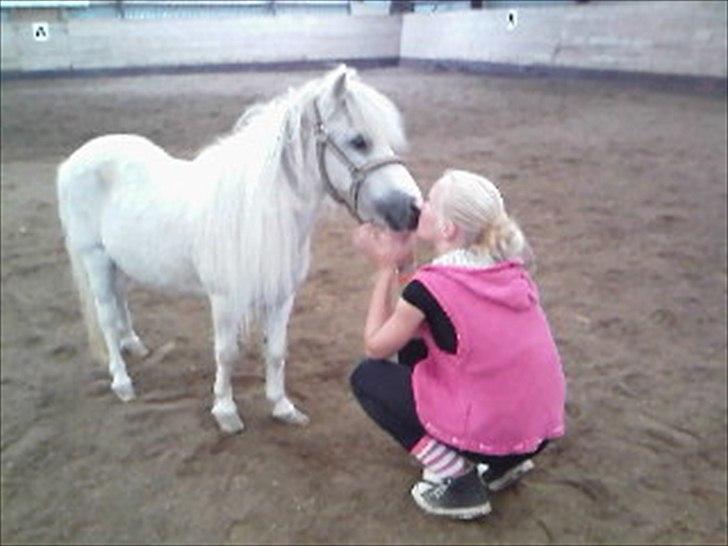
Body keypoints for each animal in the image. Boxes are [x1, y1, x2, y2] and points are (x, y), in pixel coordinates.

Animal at [57, 65, 422, 433]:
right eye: (359, 141)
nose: (413, 210)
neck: (258, 213)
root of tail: (74, 161)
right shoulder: (225, 300)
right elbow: (226, 354)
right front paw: (225, 411)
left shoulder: (282, 295)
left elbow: (276, 351)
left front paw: (282, 407)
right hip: (95, 258)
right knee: (105, 316)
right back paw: (122, 382)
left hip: (119, 261)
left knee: (120, 301)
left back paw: (133, 343)